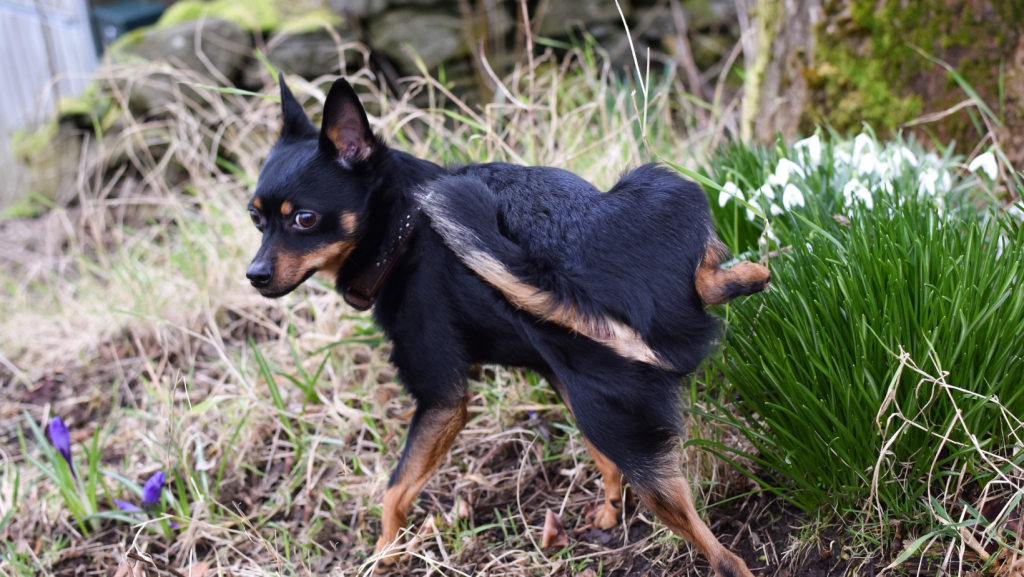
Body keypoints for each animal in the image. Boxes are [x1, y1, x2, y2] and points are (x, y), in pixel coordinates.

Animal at [247, 76, 770, 577]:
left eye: (305, 219)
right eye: (255, 218)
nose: (254, 275)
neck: (402, 226)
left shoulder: (442, 402)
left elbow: (394, 490)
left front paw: (384, 553)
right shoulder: (560, 377)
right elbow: (602, 460)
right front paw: (608, 511)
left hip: (657, 186)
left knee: (726, 561)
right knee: (707, 288)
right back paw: (748, 275)